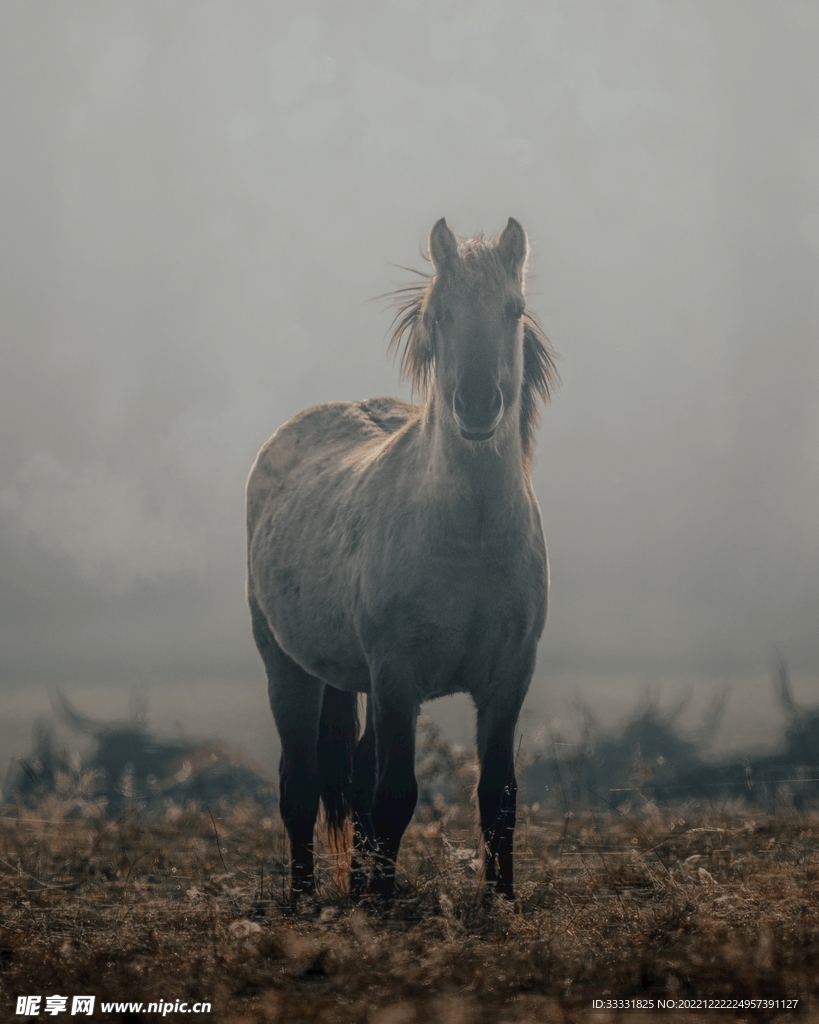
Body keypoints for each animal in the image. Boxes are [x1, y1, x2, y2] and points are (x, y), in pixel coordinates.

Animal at [246, 217, 558, 902]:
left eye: (513, 309)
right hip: (288, 668)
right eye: (440, 315)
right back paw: (305, 897)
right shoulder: (397, 677)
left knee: (356, 774)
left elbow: (498, 796)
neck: (469, 540)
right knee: (300, 784)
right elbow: (395, 795)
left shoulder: (510, 679)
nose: (477, 404)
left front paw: (502, 899)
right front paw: (382, 904)